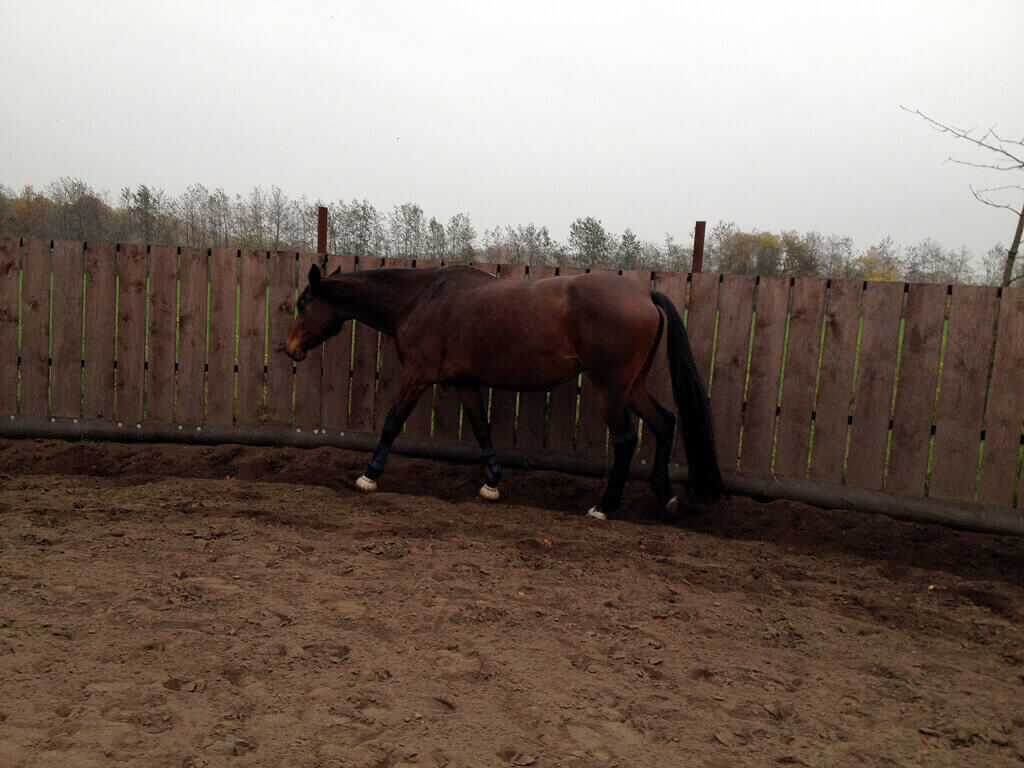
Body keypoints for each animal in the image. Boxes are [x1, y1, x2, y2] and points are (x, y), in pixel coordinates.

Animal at [284, 263, 724, 520]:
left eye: (303, 303)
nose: (289, 348)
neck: (420, 298)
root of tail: (644, 293)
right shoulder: (463, 381)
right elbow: (482, 428)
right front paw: (492, 483)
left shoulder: (417, 376)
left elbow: (392, 424)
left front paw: (369, 477)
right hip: (632, 385)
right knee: (665, 423)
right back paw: (665, 496)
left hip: (610, 387)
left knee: (627, 439)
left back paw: (604, 506)